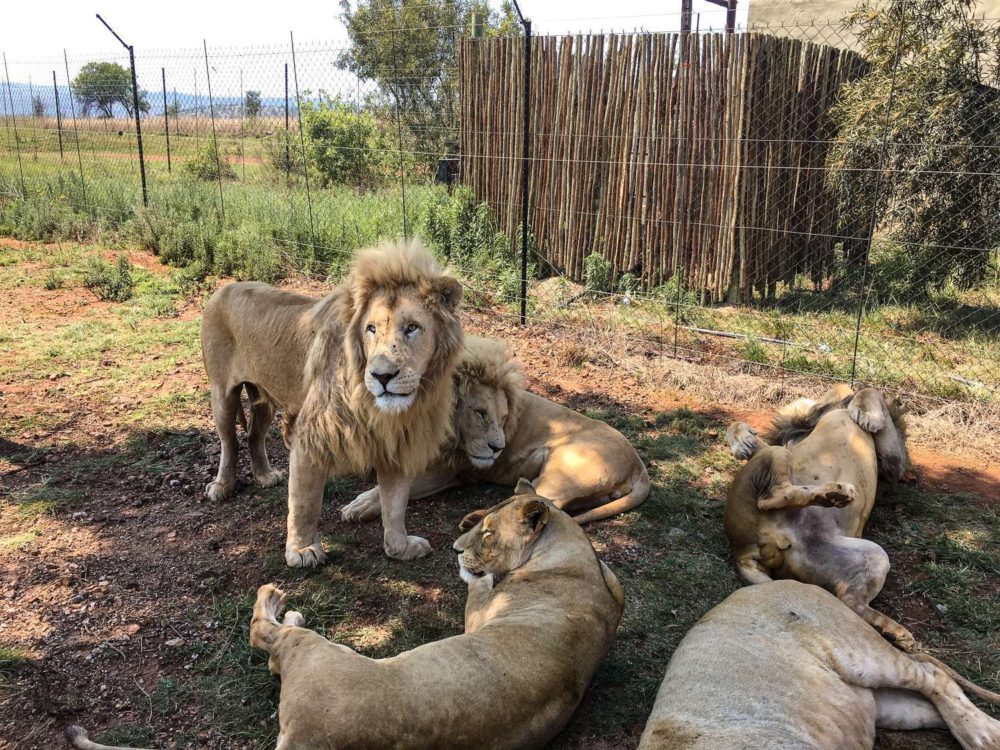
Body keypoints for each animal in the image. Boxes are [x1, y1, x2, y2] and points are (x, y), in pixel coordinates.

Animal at [65, 481, 625, 750]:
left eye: (488, 536)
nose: (455, 549)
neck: (571, 553)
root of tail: (302, 741)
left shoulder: (483, 605)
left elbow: (477, 587)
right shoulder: (610, 579)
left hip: (317, 654)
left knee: (266, 636)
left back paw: (279, 604)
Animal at [200, 239, 463, 564]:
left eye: (412, 328)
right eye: (371, 329)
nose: (381, 375)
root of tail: (224, 288)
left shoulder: (397, 441)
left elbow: (395, 504)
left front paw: (399, 547)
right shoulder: (309, 438)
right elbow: (305, 503)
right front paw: (301, 550)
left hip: (264, 397)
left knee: (253, 435)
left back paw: (265, 475)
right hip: (222, 394)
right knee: (229, 441)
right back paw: (222, 486)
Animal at [343, 335, 651, 528]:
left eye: (503, 418)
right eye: (480, 413)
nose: (498, 448)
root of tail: (639, 464)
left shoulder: (448, 472)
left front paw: (360, 505)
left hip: (564, 471)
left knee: (541, 501)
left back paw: (475, 520)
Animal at [722, 384, 914, 647]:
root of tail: (742, 552)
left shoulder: (894, 462)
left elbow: (867, 390)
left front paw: (864, 415)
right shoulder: (892, 460)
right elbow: (868, 390)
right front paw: (743, 442)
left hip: (870, 555)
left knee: (850, 600)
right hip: (779, 457)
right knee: (771, 497)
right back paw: (834, 494)